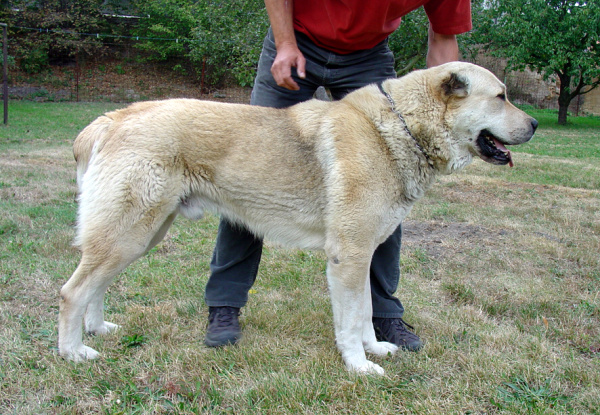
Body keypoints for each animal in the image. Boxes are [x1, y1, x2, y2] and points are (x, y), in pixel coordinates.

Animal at [58, 62, 537, 375]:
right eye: (501, 97)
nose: (534, 124)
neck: (400, 129)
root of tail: (111, 118)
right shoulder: (348, 258)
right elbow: (350, 321)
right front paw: (358, 366)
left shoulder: (363, 257)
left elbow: (366, 312)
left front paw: (375, 349)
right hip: (127, 235)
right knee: (72, 293)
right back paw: (73, 353)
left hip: (140, 237)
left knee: (95, 287)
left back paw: (98, 330)